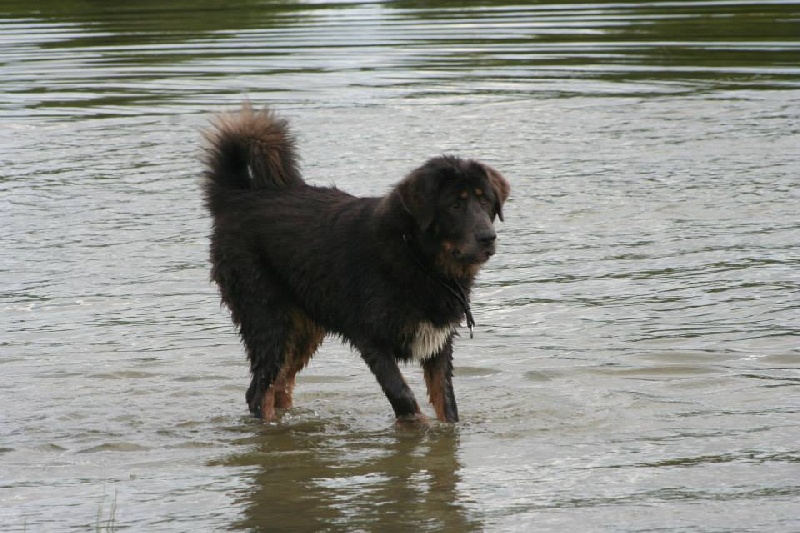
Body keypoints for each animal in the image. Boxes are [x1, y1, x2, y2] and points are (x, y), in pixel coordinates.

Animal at [203, 105, 510, 424]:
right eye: (455, 205)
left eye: (485, 201)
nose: (488, 237)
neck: (417, 258)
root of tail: (237, 196)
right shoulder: (371, 339)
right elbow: (403, 396)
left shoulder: (438, 345)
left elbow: (446, 405)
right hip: (268, 321)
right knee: (259, 391)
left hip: (303, 329)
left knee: (279, 386)